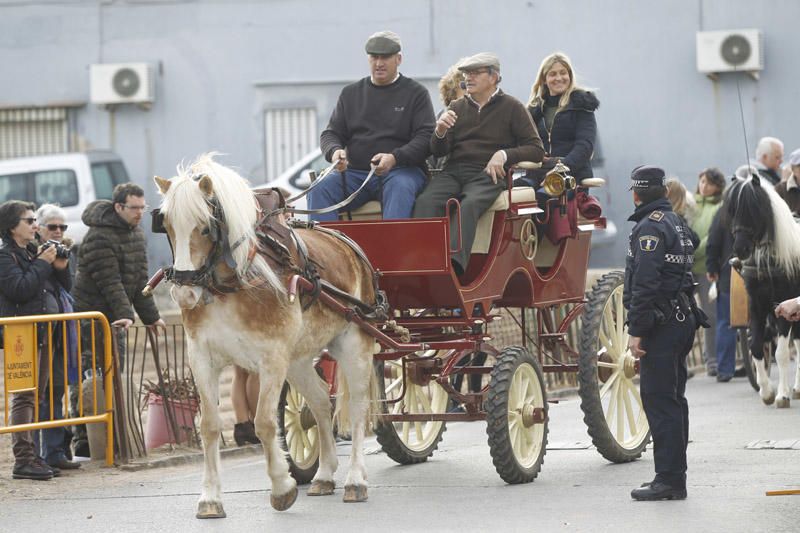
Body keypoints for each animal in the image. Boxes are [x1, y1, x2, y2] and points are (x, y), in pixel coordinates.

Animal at [157, 153, 382, 516]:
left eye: (205, 226)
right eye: (165, 226)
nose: (184, 294)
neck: (231, 285)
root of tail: (348, 244)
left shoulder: (271, 359)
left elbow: (264, 422)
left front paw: (281, 486)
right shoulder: (201, 358)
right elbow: (208, 425)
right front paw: (210, 497)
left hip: (354, 343)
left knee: (359, 406)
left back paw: (355, 479)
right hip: (300, 359)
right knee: (320, 402)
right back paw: (324, 474)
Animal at [724, 175, 800, 408]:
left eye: (753, 209)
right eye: (731, 210)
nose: (740, 249)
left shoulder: (784, 306)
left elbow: (781, 353)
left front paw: (782, 395)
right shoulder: (757, 306)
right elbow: (756, 346)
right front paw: (766, 391)